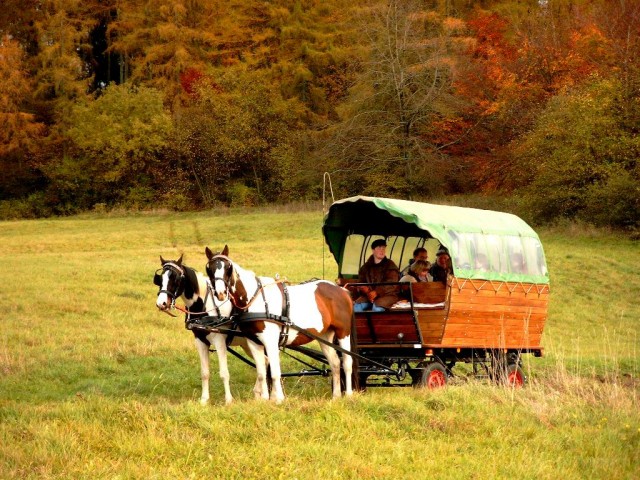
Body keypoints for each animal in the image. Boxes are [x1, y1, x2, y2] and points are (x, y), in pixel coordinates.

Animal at [154, 255, 254, 404]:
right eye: (160, 278)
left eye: (175, 278)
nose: (161, 303)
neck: (205, 306)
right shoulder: (200, 341)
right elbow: (205, 372)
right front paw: (204, 399)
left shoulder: (219, 342)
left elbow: (224, 373)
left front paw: (228, 400)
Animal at [205, 246, 356, 404]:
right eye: (209, 268)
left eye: (228, 267)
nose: (221, 293)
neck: (255, 300)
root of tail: (342, 290)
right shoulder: (254, 342)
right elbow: (261, 372)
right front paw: (264, 399)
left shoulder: (270, 341)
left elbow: (275, 372)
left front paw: (278, 399)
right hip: (325, 336)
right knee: (335, 363)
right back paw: (336, 396)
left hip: (343, 332)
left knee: (347, 362)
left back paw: (349, 394)